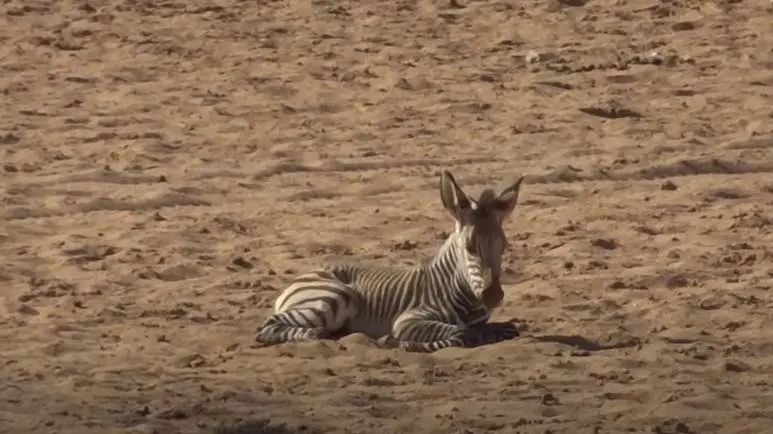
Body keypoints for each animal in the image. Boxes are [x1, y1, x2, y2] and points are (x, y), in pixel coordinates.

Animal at [254, 170, 525, 352]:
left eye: (504, 246)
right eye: (469, 247)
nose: (493, 296)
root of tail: (298, 280)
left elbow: (505, 329)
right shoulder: (407, 321)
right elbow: (461, 333)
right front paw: (401, 343)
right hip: (335, 295)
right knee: (266, 327)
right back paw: (314, 333)